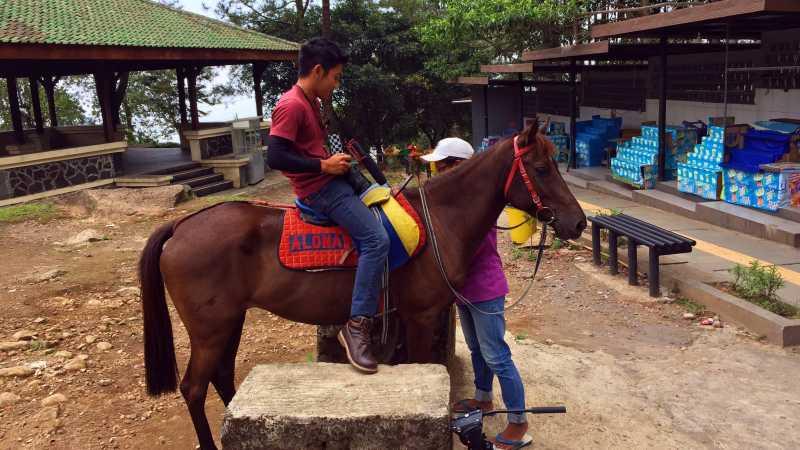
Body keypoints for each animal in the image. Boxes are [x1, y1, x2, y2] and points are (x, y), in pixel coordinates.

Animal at [138, 121, 588, 448]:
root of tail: (182, 225)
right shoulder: (421, 316)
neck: (440, 220)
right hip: (210, 330)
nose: (579, 222)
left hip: (230, 322)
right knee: (194, 388)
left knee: (222, 376)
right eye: (542, 169)